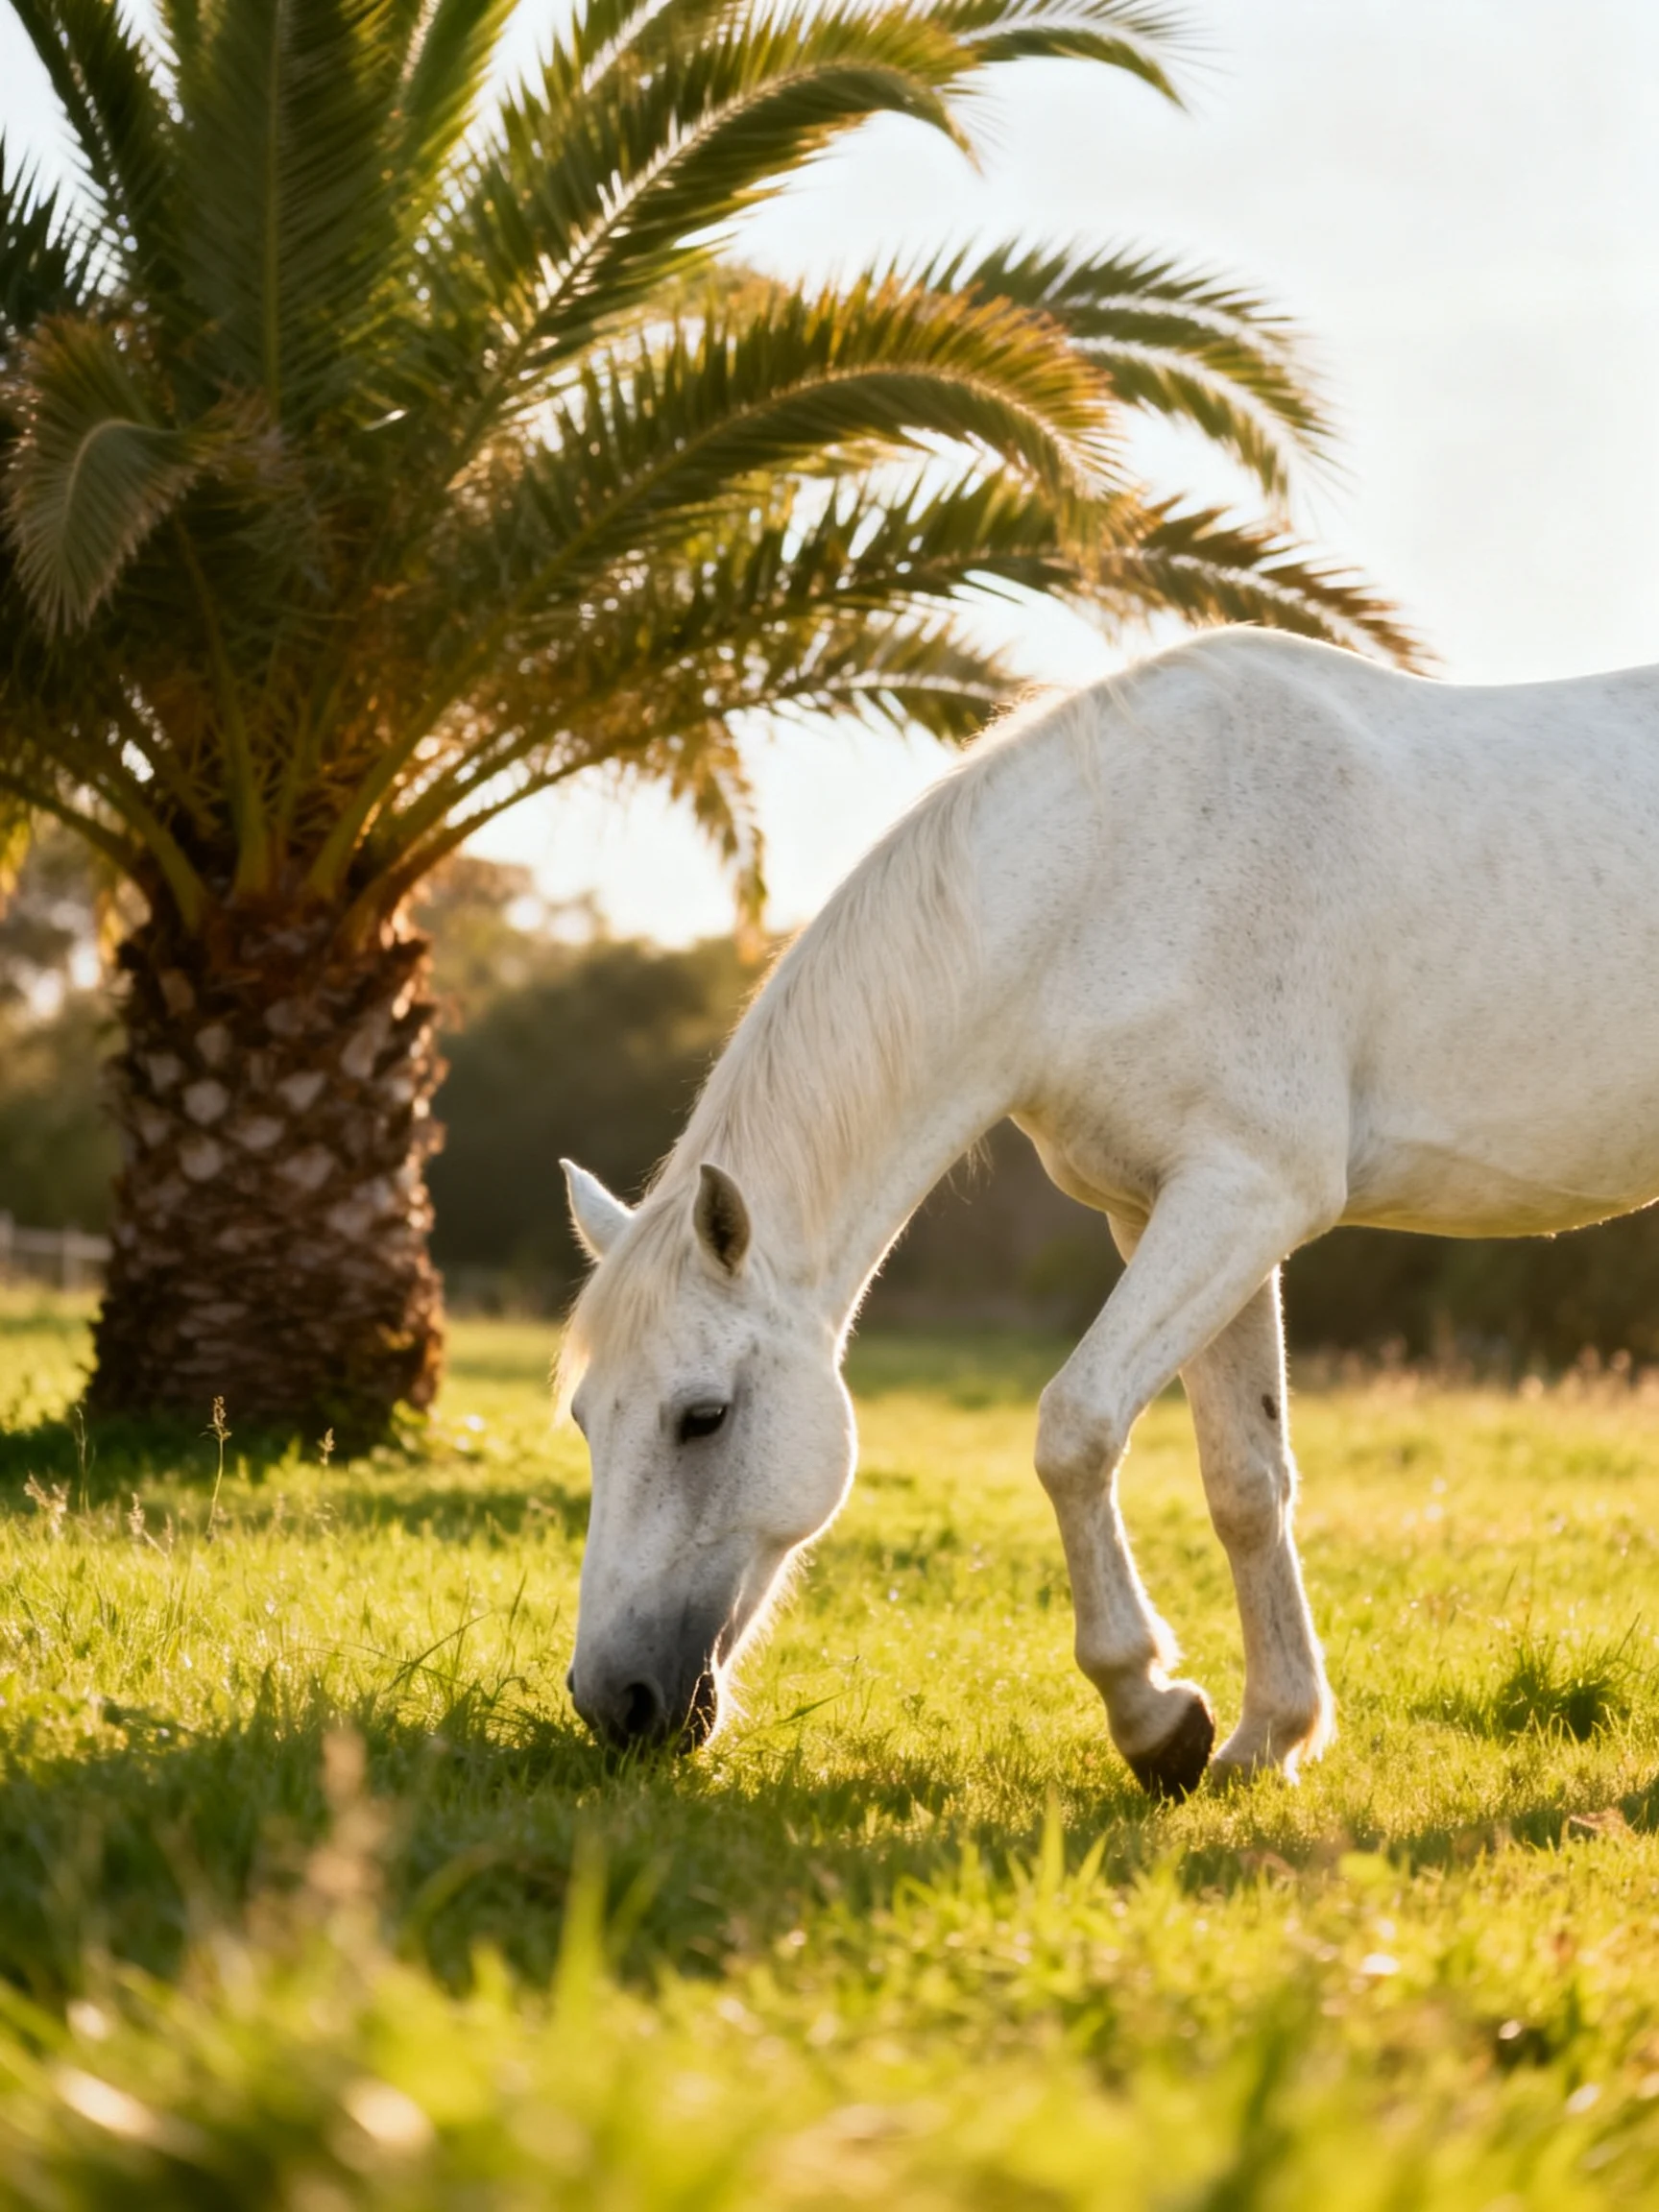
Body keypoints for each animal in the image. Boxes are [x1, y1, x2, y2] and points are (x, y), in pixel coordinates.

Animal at [557, 626, 1659, 1797]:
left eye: (703, 1417)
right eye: (585, 1418)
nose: (612, 1702)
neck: (1108, 882)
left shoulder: (1244, 1197)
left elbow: (1076, 1430)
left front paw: (1153, 1716)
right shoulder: (1172, 1215)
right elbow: (1244, 1481)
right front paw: (1268, 1736)